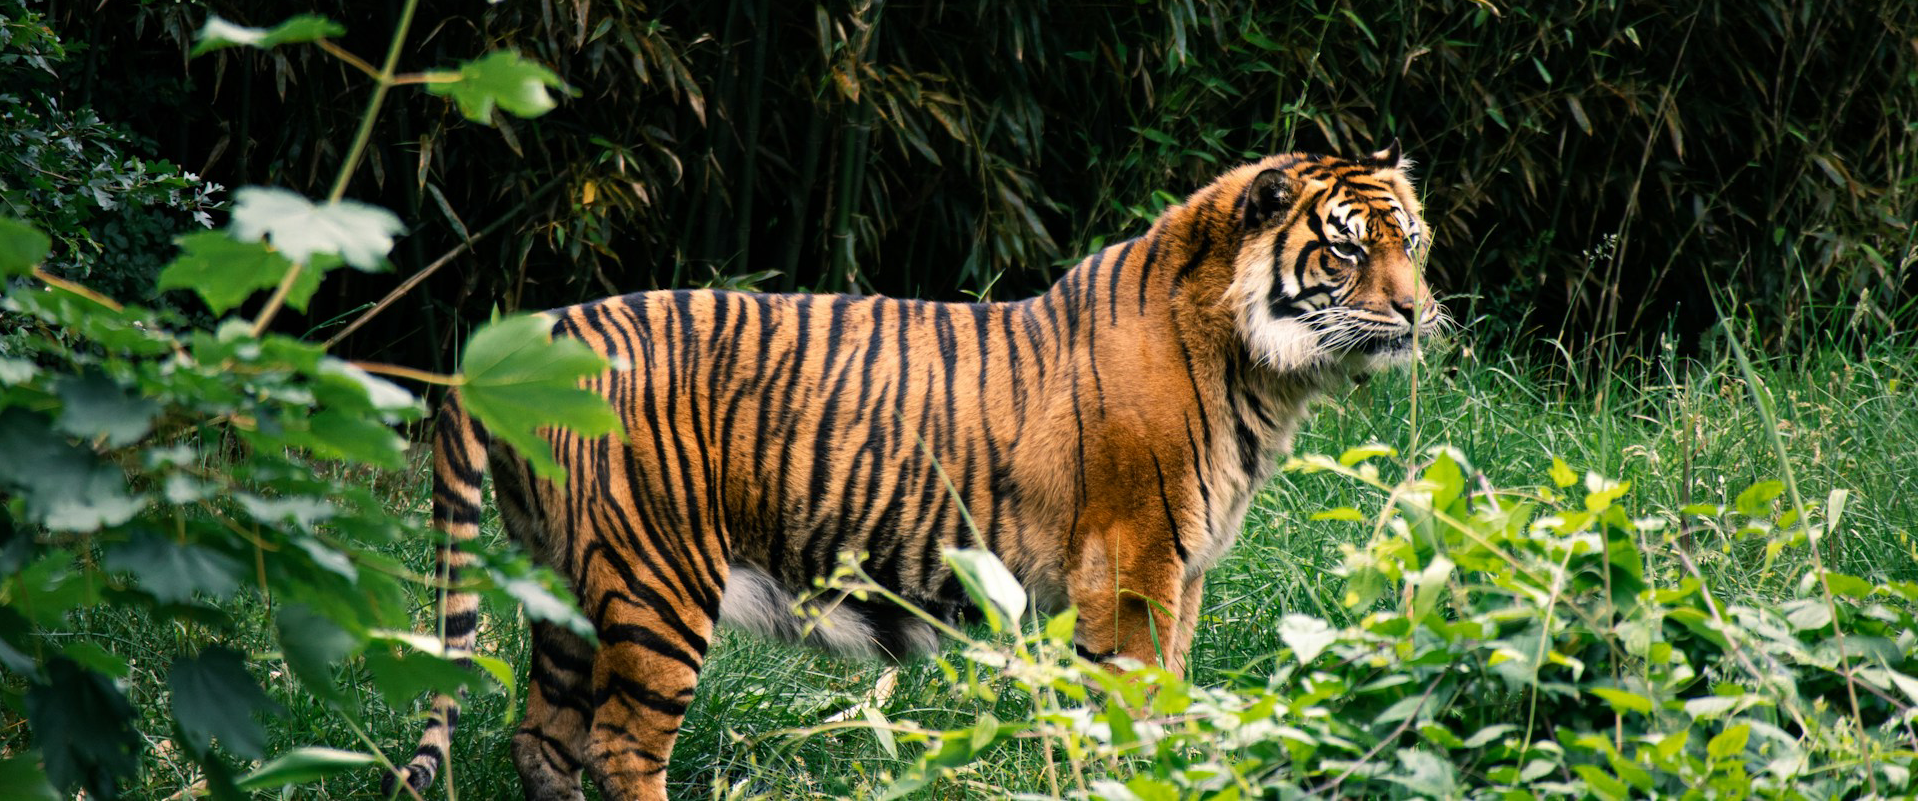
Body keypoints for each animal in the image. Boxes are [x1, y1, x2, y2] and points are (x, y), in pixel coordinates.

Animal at [384, 144, 1441, 800]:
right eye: (1345, 249)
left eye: (1414, 242)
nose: (1420, 312)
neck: (1260, 370)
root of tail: (524, 341)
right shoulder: (1135, 562)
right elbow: (1136, 706)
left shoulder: (1180, 568)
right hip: (657, 579)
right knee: (619, 747)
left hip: (565, 583)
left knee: (541, 739)